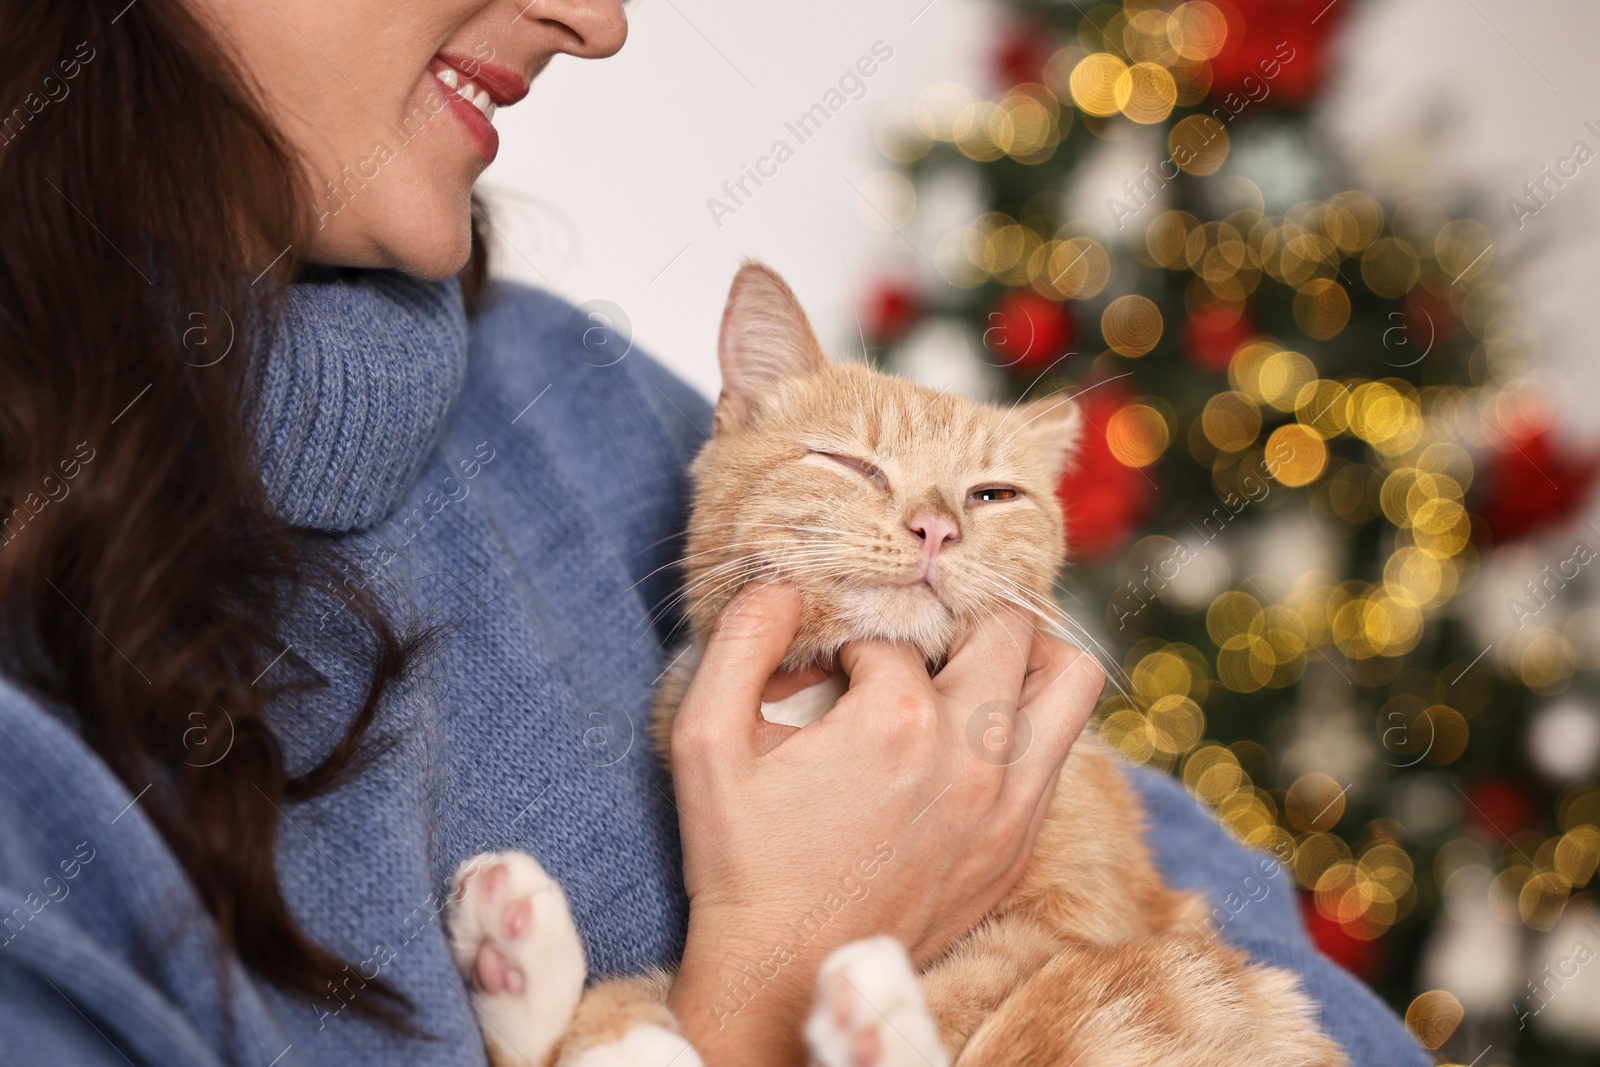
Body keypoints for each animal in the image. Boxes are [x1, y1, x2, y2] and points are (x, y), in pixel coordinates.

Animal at [444, 265, 1344, 1067]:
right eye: (853, 466)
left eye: (992, 495)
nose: (936, 528)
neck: (824, 693)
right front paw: (618, 1031)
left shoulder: (1082, 920)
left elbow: (984, 1004)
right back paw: (514, 954)